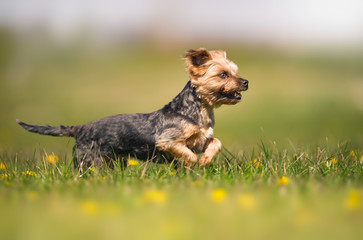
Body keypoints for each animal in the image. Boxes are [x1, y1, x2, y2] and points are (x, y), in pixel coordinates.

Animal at [17, 48, 250, 169]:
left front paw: (206, 159)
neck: (200, 110)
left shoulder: (201, 139)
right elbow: (187, 153)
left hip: (112, 160)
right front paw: (191, 163)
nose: (246, 82)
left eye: (235, 72)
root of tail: (80, 128)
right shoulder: (168, 141)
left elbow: (216, 142)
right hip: (87, 158)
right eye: (223, 75)